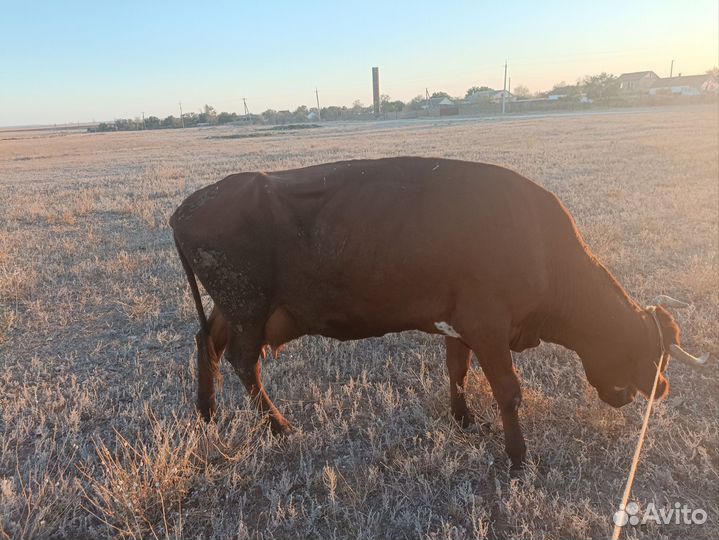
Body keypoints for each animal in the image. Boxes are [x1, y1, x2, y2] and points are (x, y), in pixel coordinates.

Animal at [170, 156, 707, 471]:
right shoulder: (489, 326)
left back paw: (207, 411)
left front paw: (464, 419)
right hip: (248, 305)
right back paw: (277, 426)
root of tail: (187, 207)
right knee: (244, 360)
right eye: (649, 350)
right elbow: (509, 392)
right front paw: (518, 457)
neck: (541, 245)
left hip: (235, 307)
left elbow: (457, 370)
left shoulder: (460, 323)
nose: (661, 389)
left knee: (207, 343)